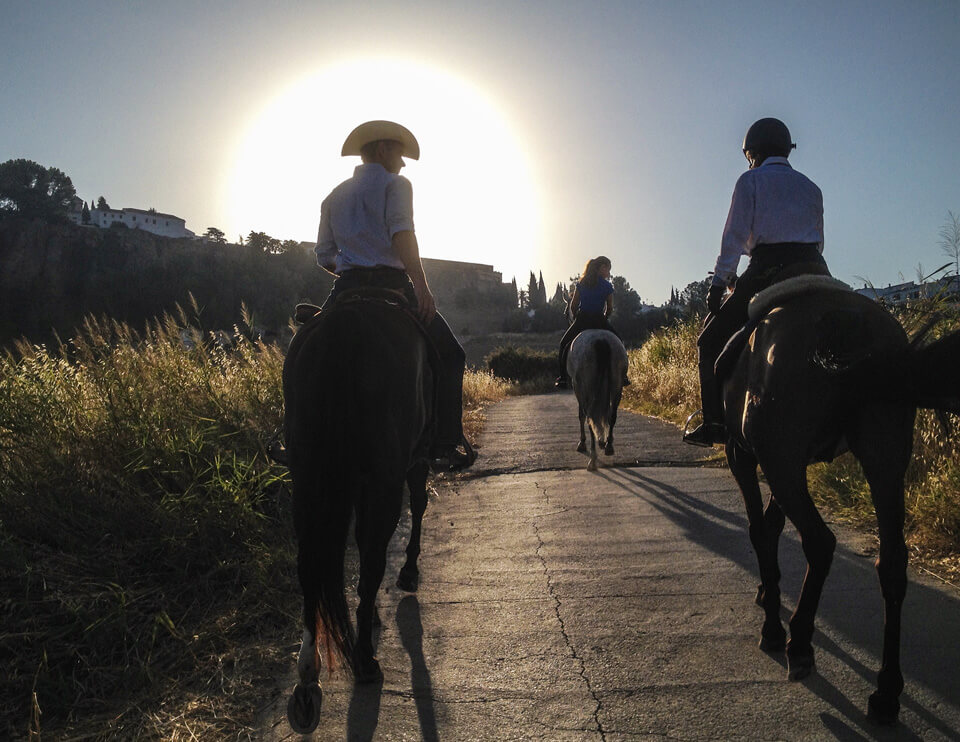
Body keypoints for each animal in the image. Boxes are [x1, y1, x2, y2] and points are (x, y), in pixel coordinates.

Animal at [280, 298, 434, 740]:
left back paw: (307, 678)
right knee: (373, 553)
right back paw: (364, 658)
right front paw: (408, 572)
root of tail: (344, 327)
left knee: (309, 563)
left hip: (309, 473)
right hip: (384, 475)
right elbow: (412, 511)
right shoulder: (406, 464)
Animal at [568, 330, 632, 470]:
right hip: (617, 385)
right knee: (611, 416)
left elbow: (581, 416)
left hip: (586, 387)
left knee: (589, 417)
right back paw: (608, 447)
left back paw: (593, 458)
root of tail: (601, 340)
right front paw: (604, 440)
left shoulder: (577, 387)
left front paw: (582, 443)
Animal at [720, 276, 960, 724]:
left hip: (780, 455)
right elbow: (772, 524)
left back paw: (796, 643)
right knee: (892, 562)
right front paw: (766, 592)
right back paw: (886, 692)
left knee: (820, 541)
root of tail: (849, 319)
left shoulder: (744, 455)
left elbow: (760, 528)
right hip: (883, 455)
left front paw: (771, 616)